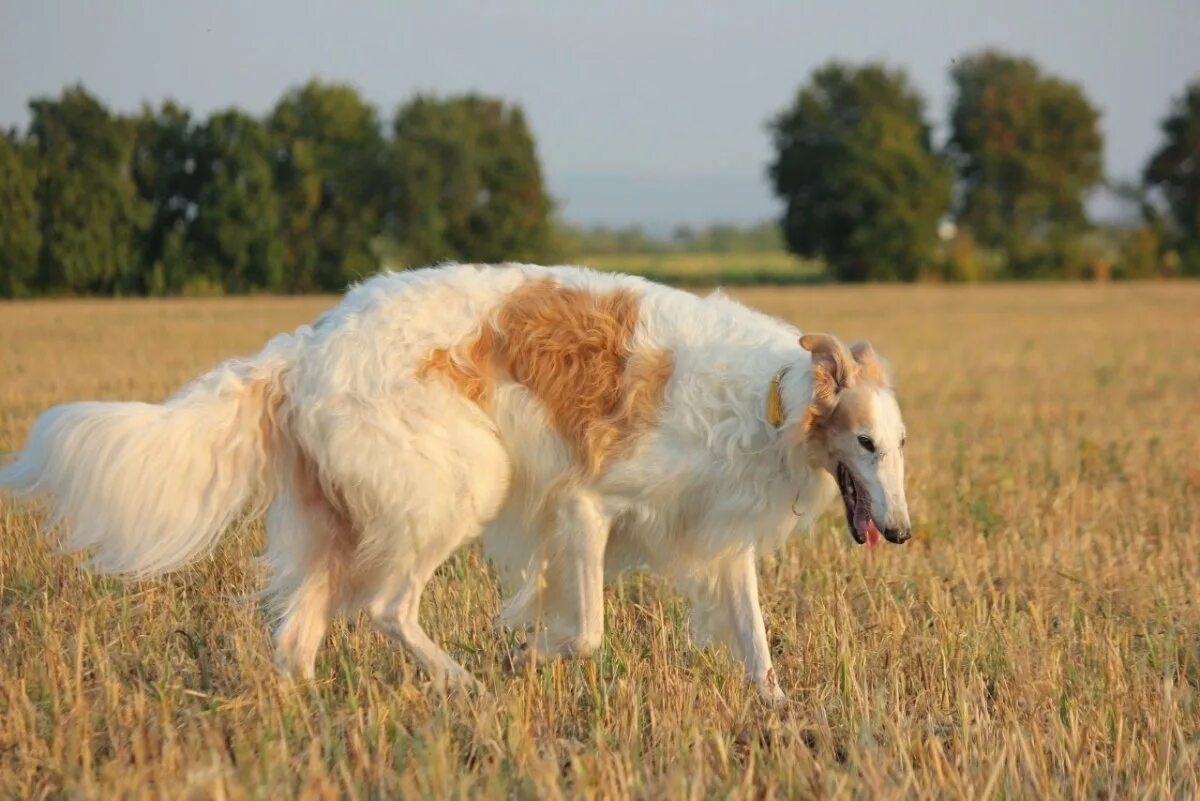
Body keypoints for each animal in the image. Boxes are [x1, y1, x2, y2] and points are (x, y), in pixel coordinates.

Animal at [0, 262, 907, 700]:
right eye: (864, 441)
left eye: (899, 443)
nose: (901, 532)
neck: (772, 396)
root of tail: (304, 346)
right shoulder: (587, 504)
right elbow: (584, 633)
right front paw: (520, 659)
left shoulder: (714, 535)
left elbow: (757, 644)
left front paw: (782, 713)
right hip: (458, 484)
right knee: (386, 609)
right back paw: (464, 683)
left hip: (344, 518)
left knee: (298, 639)